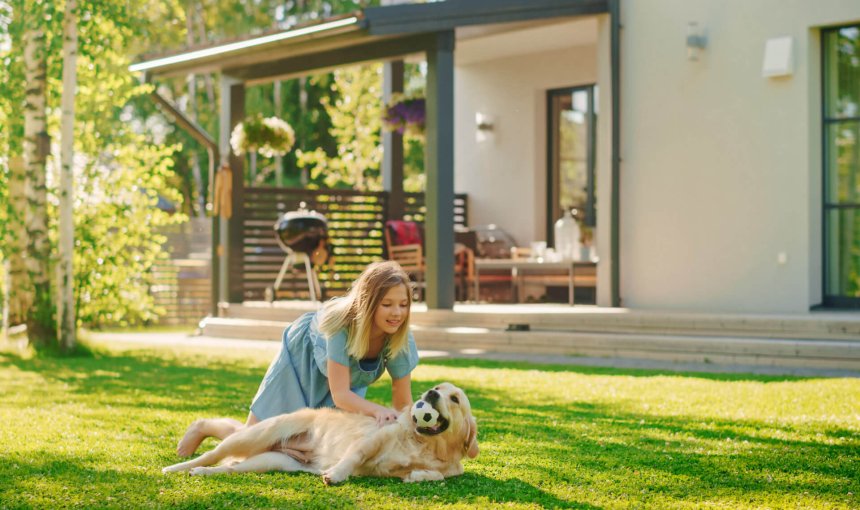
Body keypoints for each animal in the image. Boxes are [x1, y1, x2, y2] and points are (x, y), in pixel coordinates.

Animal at [161, 380, 478, 484]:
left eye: (454, 398)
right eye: (437, 388)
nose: (430, 394)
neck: (425, 443)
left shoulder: (451, 468)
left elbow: (438, 475)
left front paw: (417, 475)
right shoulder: (371, 440)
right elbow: (353, 456)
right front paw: (335, 474)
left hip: (268, 461)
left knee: (228, 468)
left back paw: (204, 473)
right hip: (255, 434)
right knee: (212, 453)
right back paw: (177, 466)